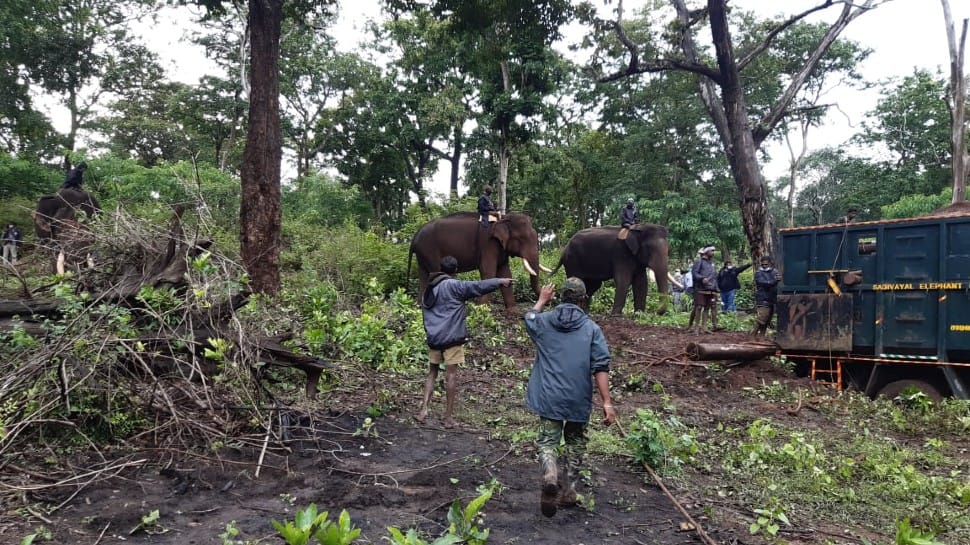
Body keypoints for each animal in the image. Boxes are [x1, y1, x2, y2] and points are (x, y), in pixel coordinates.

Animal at [404, 210, 548, 308]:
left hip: (422, 254)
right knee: (434, 272)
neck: (503, 218)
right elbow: (488, 272)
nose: (552, 297)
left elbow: (505, 272)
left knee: (423, 275)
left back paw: (419, 306)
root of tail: (414, 237)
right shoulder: (488, 244)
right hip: (429, 250)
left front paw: (513, 312)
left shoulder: (500, 248)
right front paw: (481, 308)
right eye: (522, 239)